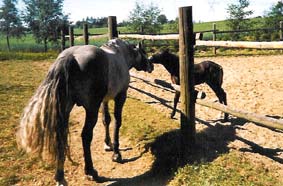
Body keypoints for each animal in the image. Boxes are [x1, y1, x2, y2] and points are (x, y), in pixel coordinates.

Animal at [16, 38, 154, 185]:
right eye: (144, 52)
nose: (151, 66)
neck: (121, 54)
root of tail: (70, 57)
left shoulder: (104, 100)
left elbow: (106, 120)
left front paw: (108, 144)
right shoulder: (120, 96)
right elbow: (117, 121)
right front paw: (116, 153)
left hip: (65, 109)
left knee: (61, 136)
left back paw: (60, 177)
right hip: (91, 109)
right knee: (86, 136)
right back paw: (91, 171)